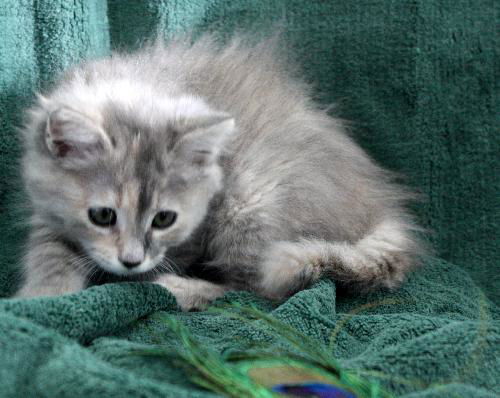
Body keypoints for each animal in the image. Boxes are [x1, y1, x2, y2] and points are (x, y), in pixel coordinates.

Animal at [15, 35, 422, 310]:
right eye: (102, 216)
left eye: (163, 219)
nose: (130, 260)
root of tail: (380, 206)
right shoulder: (47, 208)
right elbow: (49, 253)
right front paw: (42, 299)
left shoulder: (197, 227)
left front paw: (141, 279)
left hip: (251, 201)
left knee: (253, 289)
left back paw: (180, 289)